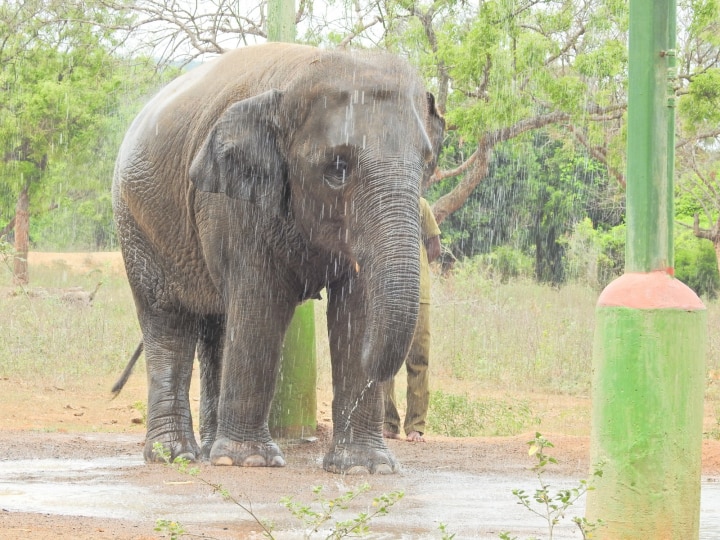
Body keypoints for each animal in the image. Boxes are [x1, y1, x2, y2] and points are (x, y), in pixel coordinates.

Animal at [112, 41, 444, 472]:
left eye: (426, 163)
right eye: (337, 168)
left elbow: (355, 309)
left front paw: (365, 467)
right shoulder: (236, 205)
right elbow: (260, 304)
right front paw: (249, 461)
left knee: (217, 325)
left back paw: (209, 451)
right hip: (136, 225)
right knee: (168, 320)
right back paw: (176, 456)